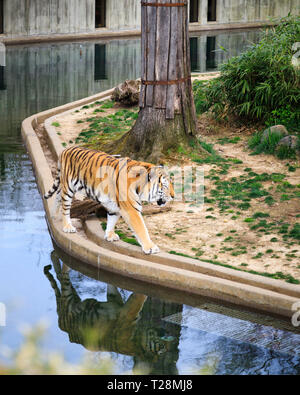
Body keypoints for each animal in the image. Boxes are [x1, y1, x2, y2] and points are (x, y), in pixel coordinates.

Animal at [43, 147, 175, 255]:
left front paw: (110, 235)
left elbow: (112, 219)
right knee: (65, 207)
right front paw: (150, 247)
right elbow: (141, 229)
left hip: (64, 187)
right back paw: (67, 226)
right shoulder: (131, 210)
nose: (173, 196)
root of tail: (66, 149)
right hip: (69, 188)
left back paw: (54, 215)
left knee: (58, 196)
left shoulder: (115, 206)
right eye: (165, 186)